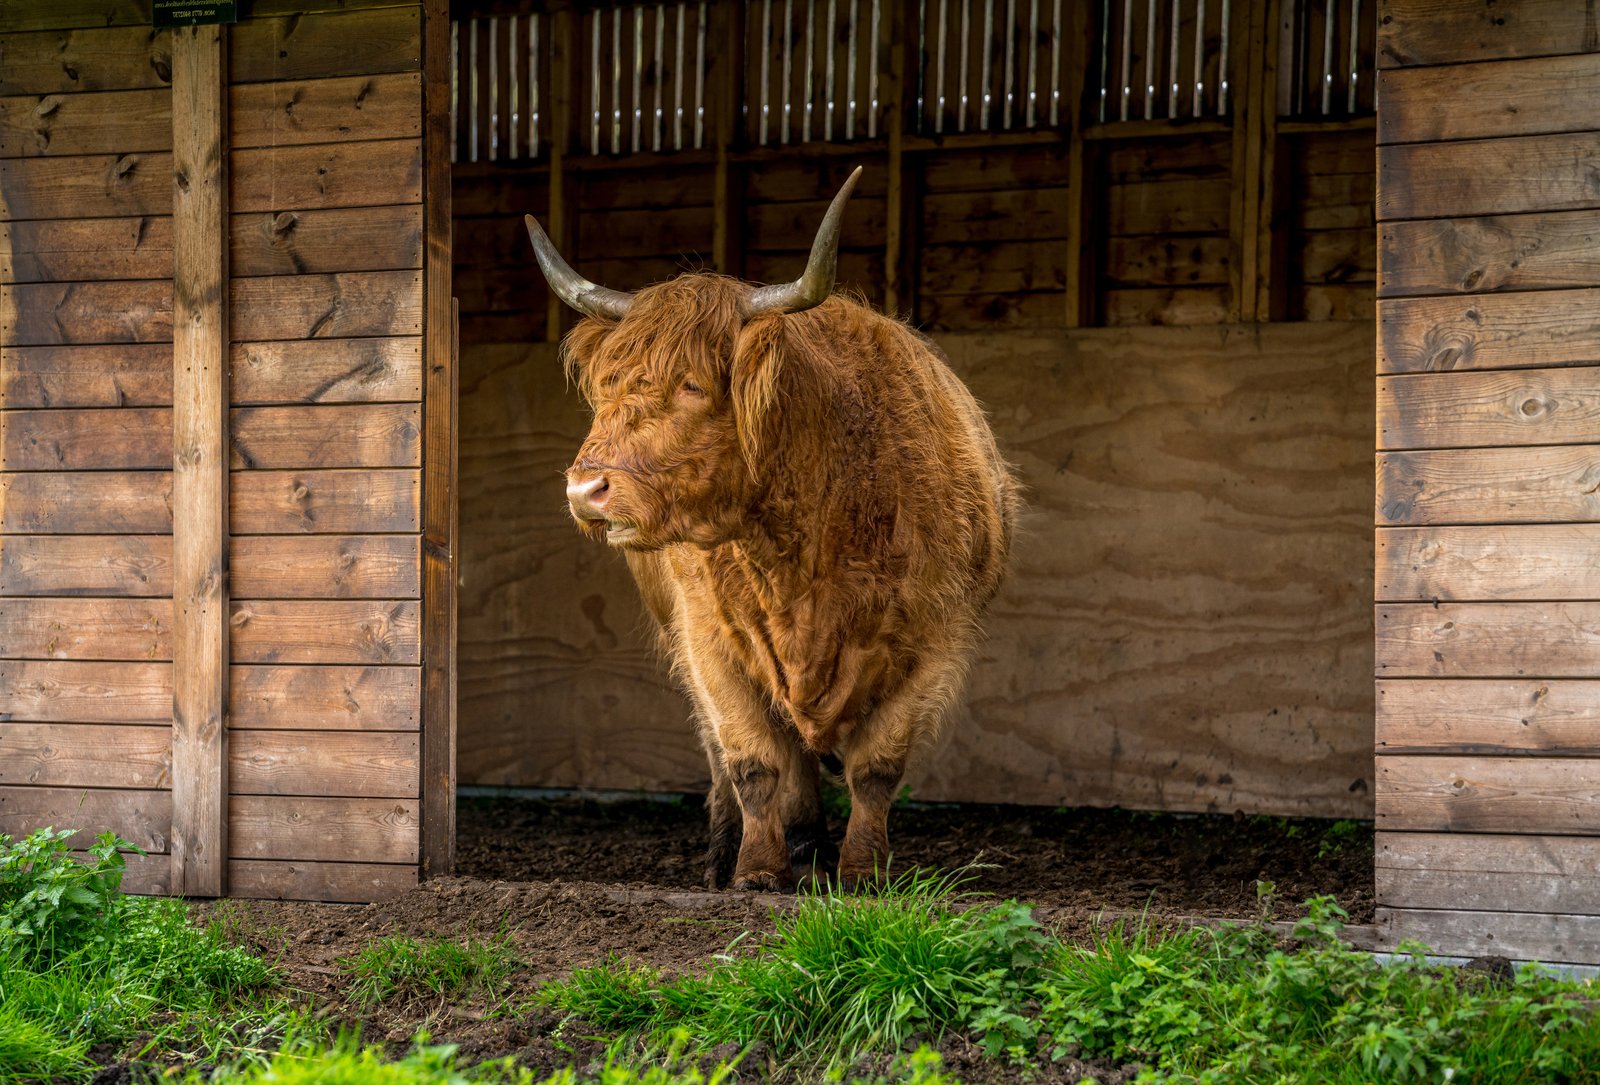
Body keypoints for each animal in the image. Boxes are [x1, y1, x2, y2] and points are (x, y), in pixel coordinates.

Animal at [525, 169, 1020, 891]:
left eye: (693, 384)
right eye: (609, 384)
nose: (585, 490)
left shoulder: (935, 639)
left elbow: (877, 767)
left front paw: (863, 871)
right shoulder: (708, 641)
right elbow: (752, 760)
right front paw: (756, 870)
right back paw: (737, 849)